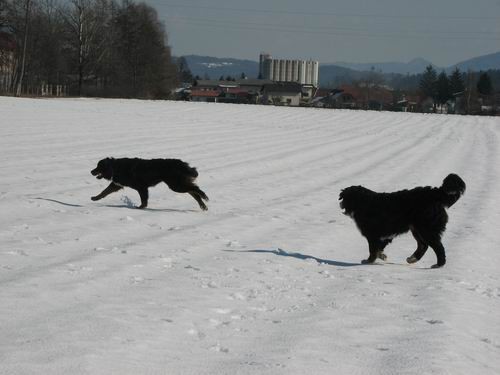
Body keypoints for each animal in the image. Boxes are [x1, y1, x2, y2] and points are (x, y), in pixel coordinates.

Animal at [338, 175, 466, 268]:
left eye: (344, 198)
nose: (340, 204)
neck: (364, 203)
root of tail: (435, 193)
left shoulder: (372, 235)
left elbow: (373, 249)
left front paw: (369, 260)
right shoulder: (384, 235)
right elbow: (379, 248)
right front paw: (382, 256)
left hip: (426, 229)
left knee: (438, 247)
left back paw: (439, 264)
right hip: (417, 229)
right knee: (423, 245)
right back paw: (412, 259)